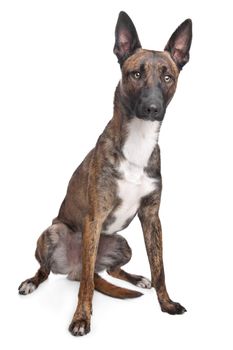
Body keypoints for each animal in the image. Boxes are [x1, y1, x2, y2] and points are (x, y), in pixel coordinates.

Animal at [18, 11, 193, 336]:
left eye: (168, 77)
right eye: (136, 74)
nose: (153, 108)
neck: (137, 142)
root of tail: (72, 267)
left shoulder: (152, 218)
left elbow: (160, 269)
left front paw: (166, 304)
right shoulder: (94, 218)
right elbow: (87, 284)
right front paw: (81, 319)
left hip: (122, 244)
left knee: (109, 269)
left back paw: (137, 279)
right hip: (53, 232)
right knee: (54, 271)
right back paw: (31, 282)